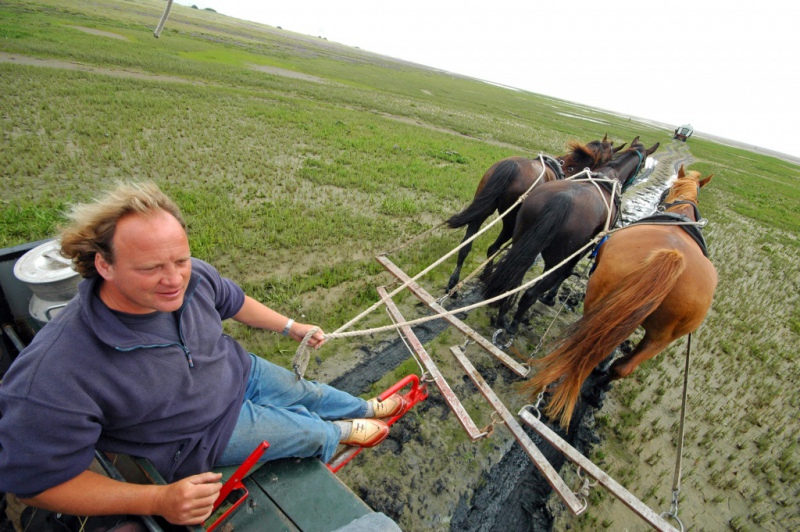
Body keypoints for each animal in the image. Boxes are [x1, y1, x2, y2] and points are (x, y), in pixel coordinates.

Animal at [440, 135, 620, 294]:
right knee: (495, 248)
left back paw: (454, 282)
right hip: (511, 220)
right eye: (609, 157)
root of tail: (512, 166)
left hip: (484, 208)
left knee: (467, 245)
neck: (568, 168)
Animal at [478, 136, 660, 336]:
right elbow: (565, 274)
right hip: (555, 257)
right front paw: (550, 296)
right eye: (643, 165)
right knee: (531, 292)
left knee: (512, 277)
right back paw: (513, 325)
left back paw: (500, 313)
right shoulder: (580, 251)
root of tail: (562, 199)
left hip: (520, 237)